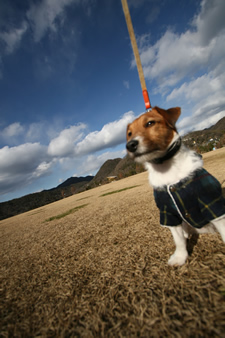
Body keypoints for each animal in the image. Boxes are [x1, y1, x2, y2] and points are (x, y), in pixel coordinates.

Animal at [126, 107, 225, 266]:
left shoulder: (211, 203)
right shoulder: (168, 212)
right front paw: (180, 257)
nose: (130, 145)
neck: (166, 167)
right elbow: (178, 240)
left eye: (150, 123)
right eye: (129, 134)